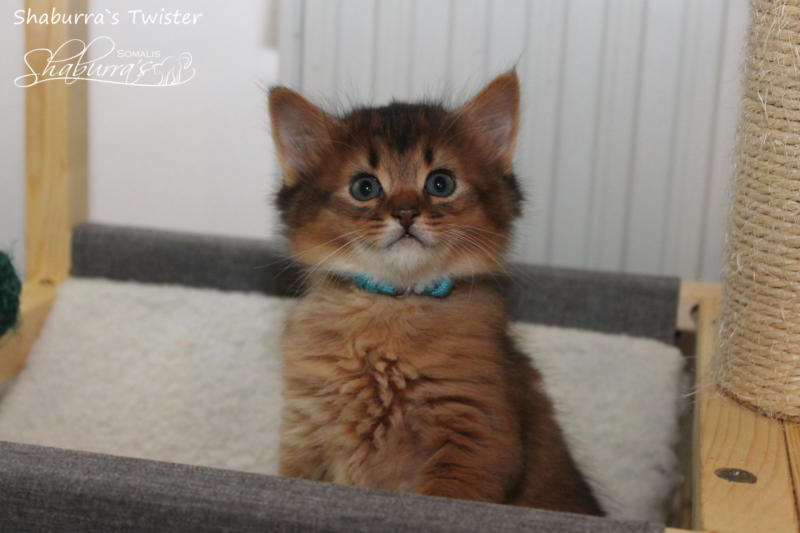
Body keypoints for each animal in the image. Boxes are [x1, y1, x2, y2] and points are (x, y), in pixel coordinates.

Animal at [268, 72, 603, 515]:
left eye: (440, 183)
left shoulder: (475, 435)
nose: (406, 213)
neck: (392, 308)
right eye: (364, 187)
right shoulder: (305, 435)